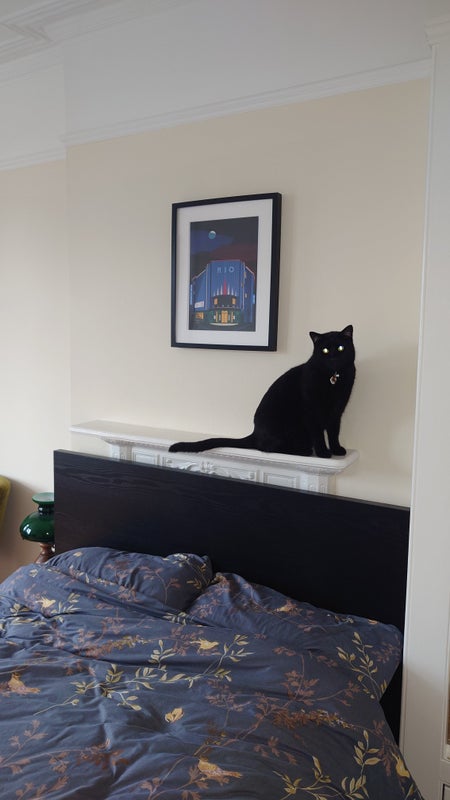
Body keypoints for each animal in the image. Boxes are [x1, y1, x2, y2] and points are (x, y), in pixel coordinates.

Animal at [169, 325, 355, 459]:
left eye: (340, 348)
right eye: (325, 350)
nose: (333, 357)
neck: (333, 378)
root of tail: (255, 433)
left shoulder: (337, 410)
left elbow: (334, 432)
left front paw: (337, 449)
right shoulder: (312, 411)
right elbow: (318, 434)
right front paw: (324, 452)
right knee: (267, 447)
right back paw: (303, 451)